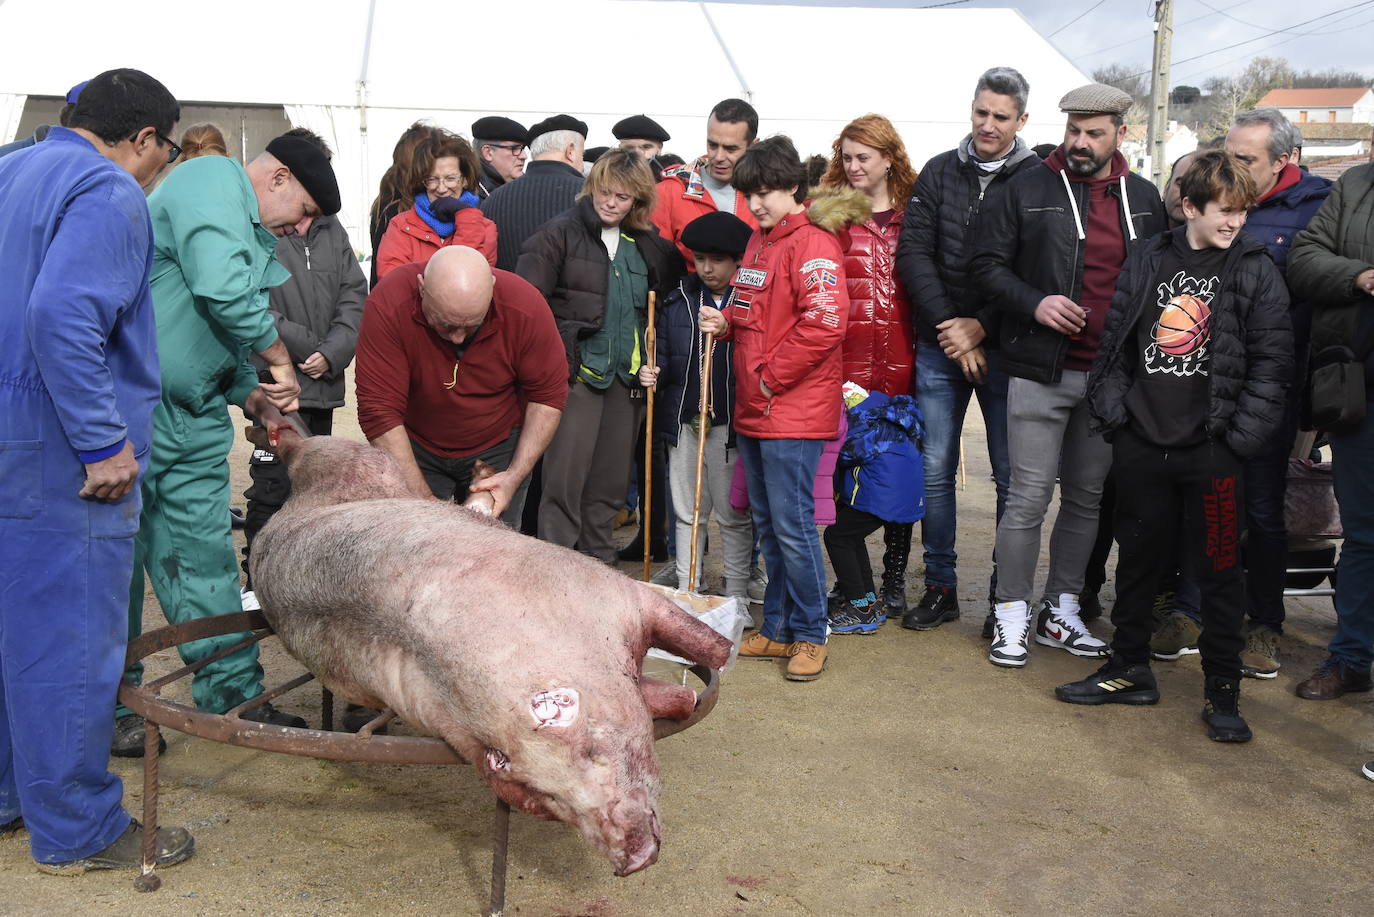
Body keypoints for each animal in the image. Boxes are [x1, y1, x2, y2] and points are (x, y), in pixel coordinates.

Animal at [251, 431, 736, 874]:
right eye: (546, 794)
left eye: (593, 751)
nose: (633, 859)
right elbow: (673, 690)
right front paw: (688, 695)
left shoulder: (613, 591)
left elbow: (697, 642)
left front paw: (725, 651)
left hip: (361, 458)